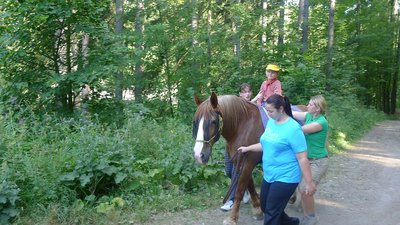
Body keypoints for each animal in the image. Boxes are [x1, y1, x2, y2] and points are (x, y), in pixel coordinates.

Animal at [192, 92, 264, 224]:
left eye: (213, 121)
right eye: (195, 122)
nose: (199, 155)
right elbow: (249, 185)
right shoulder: (239, 161)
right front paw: (257, 207)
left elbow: (240, 189)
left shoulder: (249, 162)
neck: (243, 127)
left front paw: (232, 218)